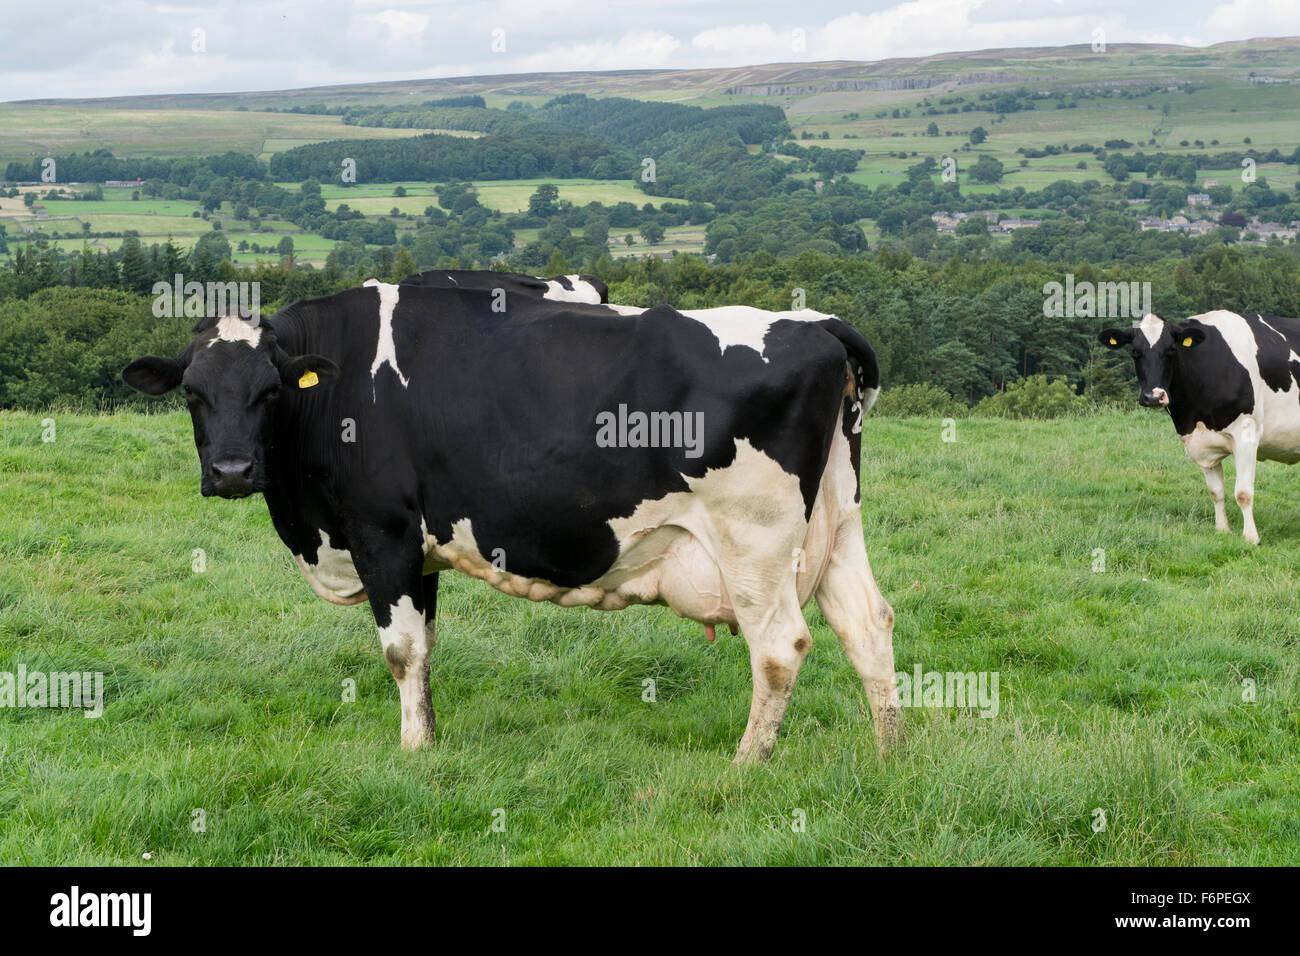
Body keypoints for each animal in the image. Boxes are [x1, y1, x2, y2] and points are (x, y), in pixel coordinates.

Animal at [122, 283, 899, 763]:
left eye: (269, 391)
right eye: (192, 393)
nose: (231, 472)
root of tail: (816, 324)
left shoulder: (383, 533)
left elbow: (399, 650)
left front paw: (410, 750)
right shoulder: (422, 550)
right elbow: (426, 650)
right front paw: (431, 739)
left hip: (755, 542)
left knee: (781, 648)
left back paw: (746, 764)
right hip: (838, 521)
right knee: (867, 623)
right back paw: (887, 754)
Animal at [1100, 310, 1300, 545]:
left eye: (1171, 350)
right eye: (1134, 352)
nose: (1154, 396)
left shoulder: (1247, 433)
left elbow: (1243, 493)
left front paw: (1251, 538)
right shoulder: (1201, 442)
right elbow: (1216, 491)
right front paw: (1222, 530)